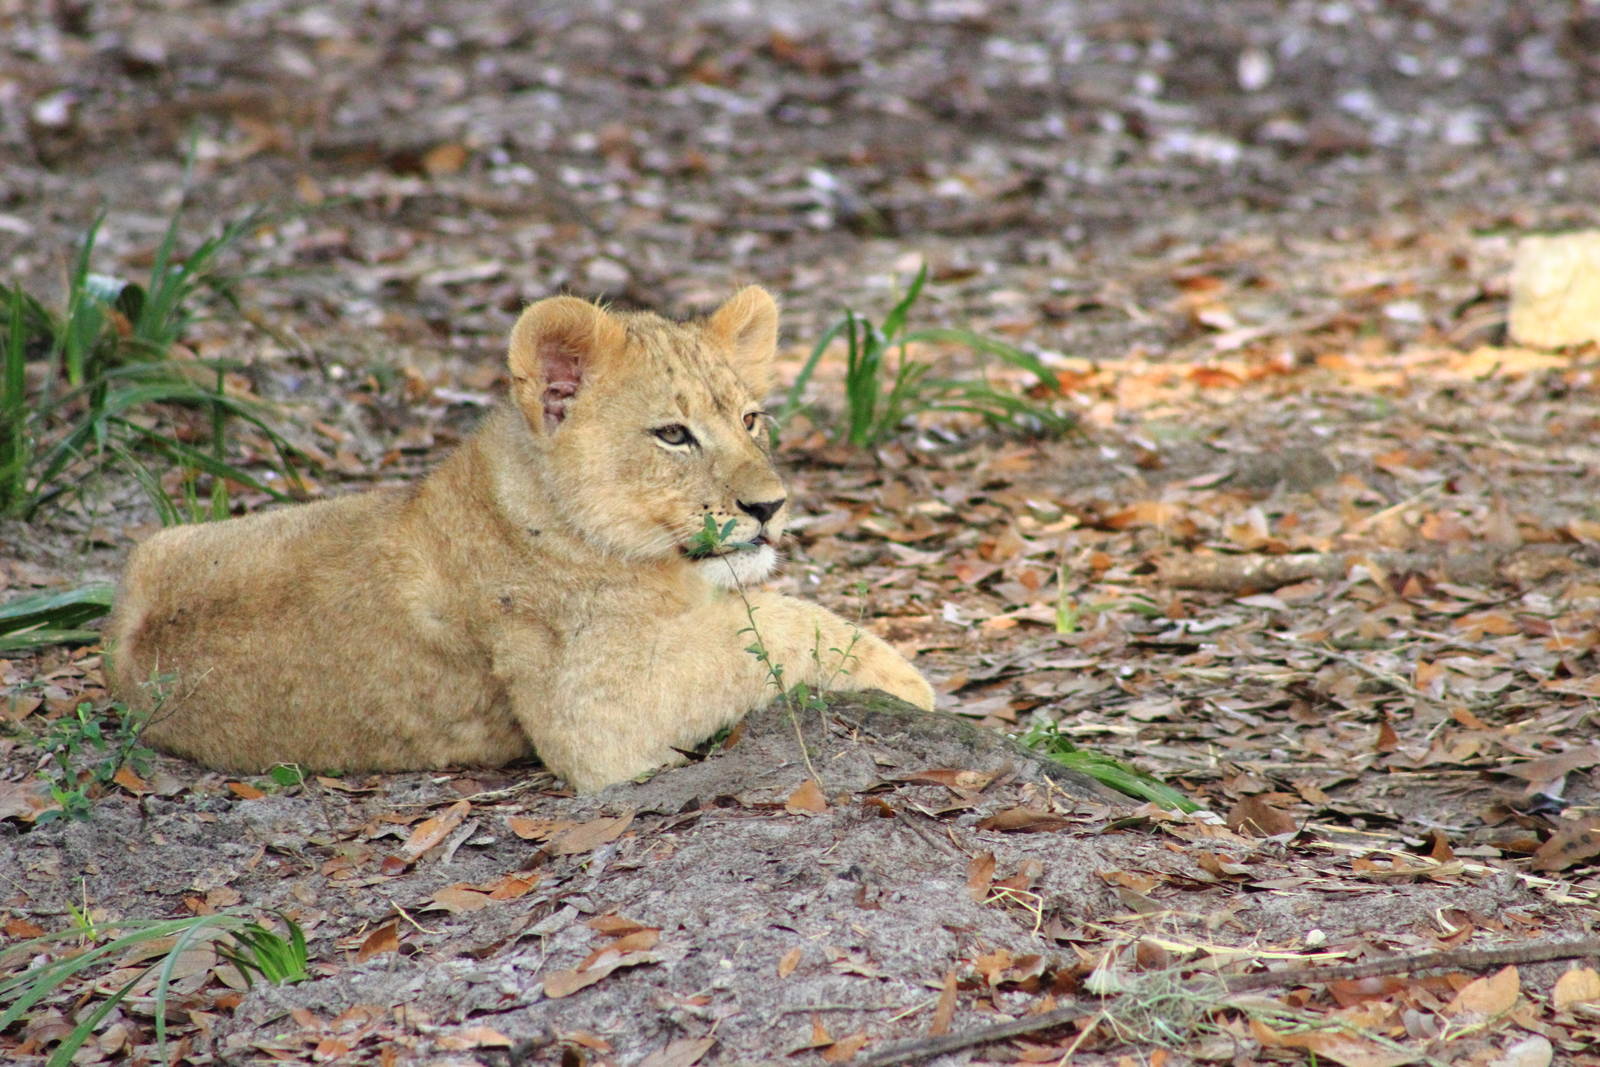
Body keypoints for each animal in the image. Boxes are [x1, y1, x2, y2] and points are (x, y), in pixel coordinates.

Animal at [105, 287, 936, 792]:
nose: (771, 505)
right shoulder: (595, 712)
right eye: (673, 434)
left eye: (751, 419)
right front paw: (910, 681)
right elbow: (767, 626)